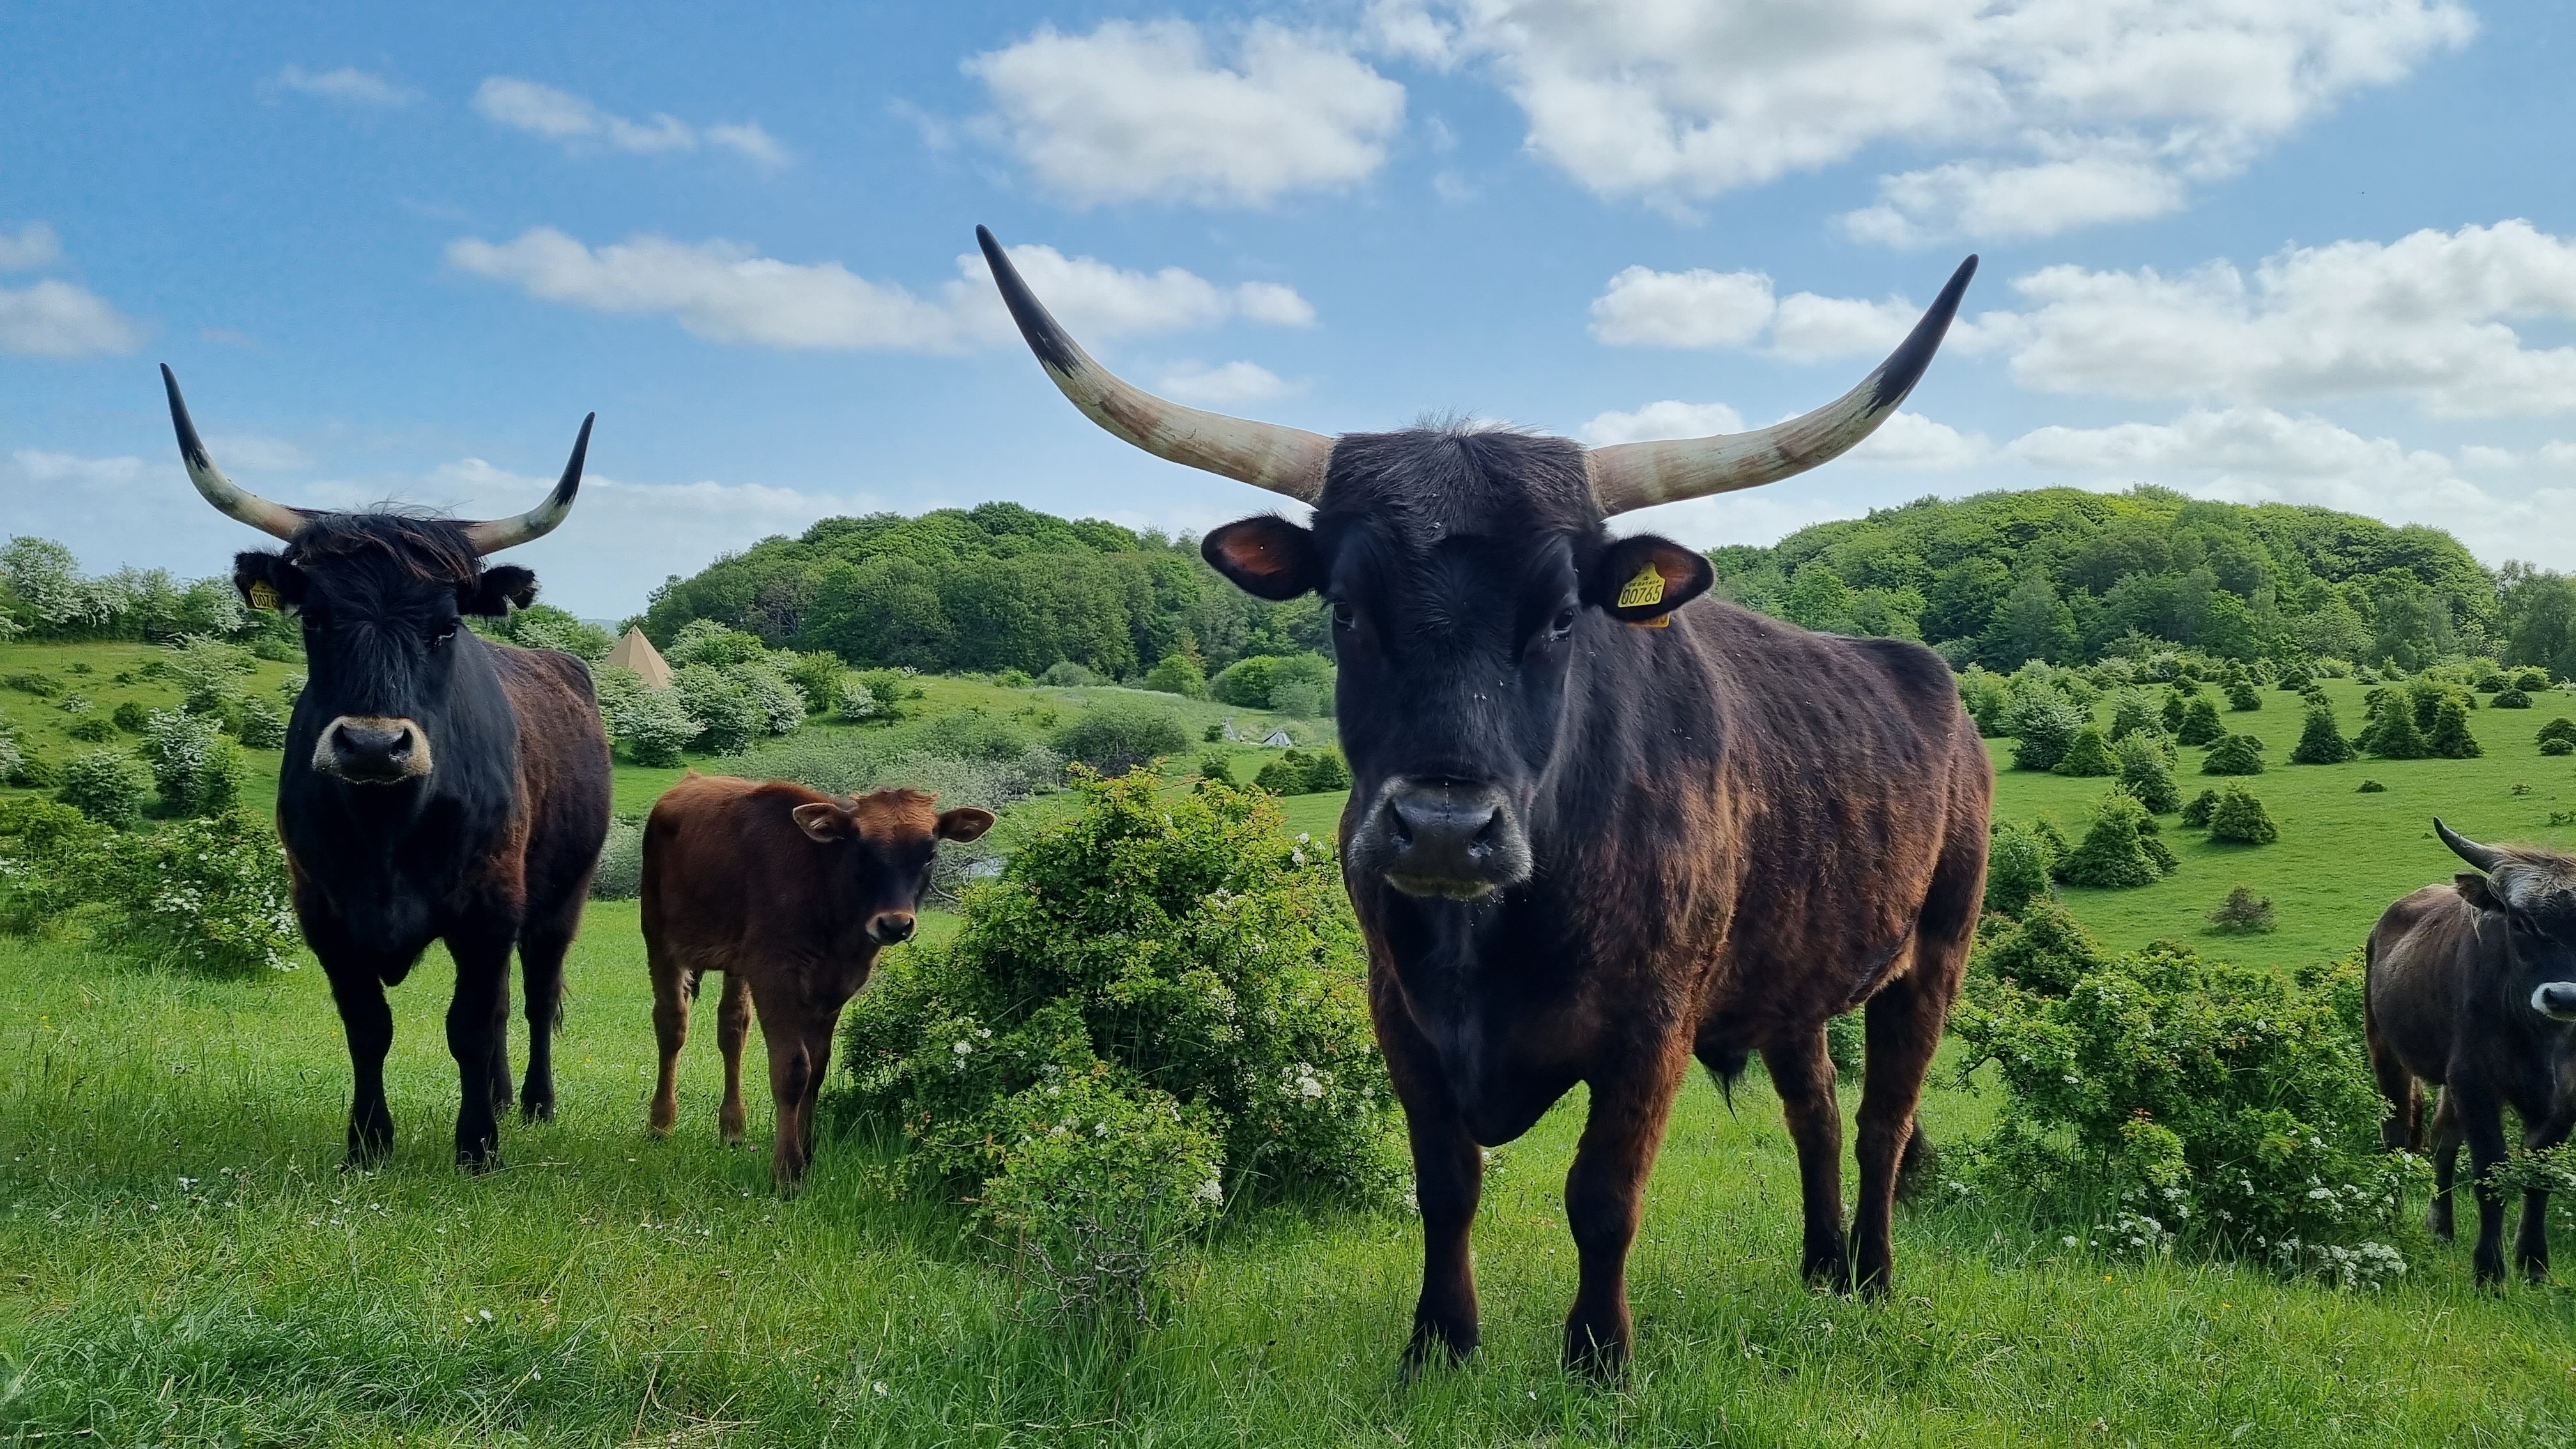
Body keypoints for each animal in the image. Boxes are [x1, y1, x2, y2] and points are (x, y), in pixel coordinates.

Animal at [160, 365, 612, 1170]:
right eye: (314, 619)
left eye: (446, 625)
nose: (373, 746)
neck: (387, 828)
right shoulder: (323, 911)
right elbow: (369, 1026)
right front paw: (369, 1141)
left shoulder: (489, 905)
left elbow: (469, 1024)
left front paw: (477, 1147)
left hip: (562, 896)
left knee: (533, 994)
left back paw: (532, 1102)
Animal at [640, 772, 994, 1192]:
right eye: (861, 851)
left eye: (930, 855)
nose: (895, 924)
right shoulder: (774, 974)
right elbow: (794, 1071)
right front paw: (788, 1172)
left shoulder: (834, 986)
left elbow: (818, 1072)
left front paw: (808, 1156)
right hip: (658, 935)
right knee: (671, 1025)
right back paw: (661, 1123)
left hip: (735, 963)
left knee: (732, 1030)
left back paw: (733, 1128)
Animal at [973, 227, 1990, 1372]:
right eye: (1344, 607)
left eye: (1560, 616)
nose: (1444, 832)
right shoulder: (1399, 1015)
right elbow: (1445, 1185)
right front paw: (1439, 1342)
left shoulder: (1652, 1026)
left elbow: (1602, 1197)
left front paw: (1598, 1356)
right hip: (1793, 980)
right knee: (1813, 1107)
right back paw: (1820, 1264)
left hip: (1935, 954)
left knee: (1881, 1120)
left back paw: (1871, 1273)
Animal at [2367, 818, 2576, 1285]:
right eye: (2520, 923)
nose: (2565, 997)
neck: (2543, 1040)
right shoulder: (2475, 1080)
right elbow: (2489, 1174)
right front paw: (2489, 1271)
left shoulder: (2567, 1100)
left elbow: (2539, 1177)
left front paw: (2533, 1264)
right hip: (2387, 1053)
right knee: (2397, 1134)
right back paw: (2391, 1219)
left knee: (2442, 1142)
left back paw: (2442, 1228)